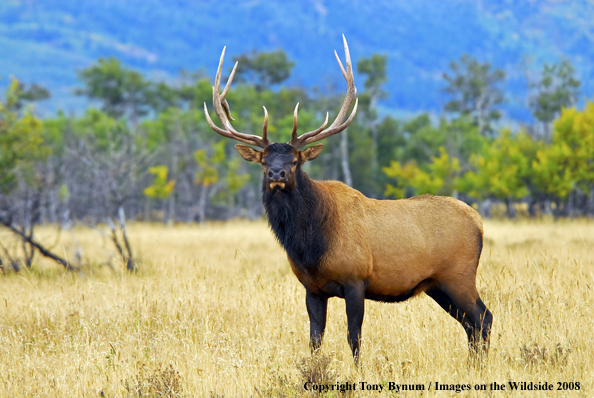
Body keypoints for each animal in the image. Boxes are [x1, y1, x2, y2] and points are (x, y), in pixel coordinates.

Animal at [204, 35, 490, 362]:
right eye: (264, 161)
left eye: (294, 160)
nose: (277, 174)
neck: (310, 245)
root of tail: (479, 222)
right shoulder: (312, 288)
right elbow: (315, 339)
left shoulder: (356, 279)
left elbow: (354, 337)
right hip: (438, 285)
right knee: (472, 325)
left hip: (459, 275)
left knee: (483, 318)